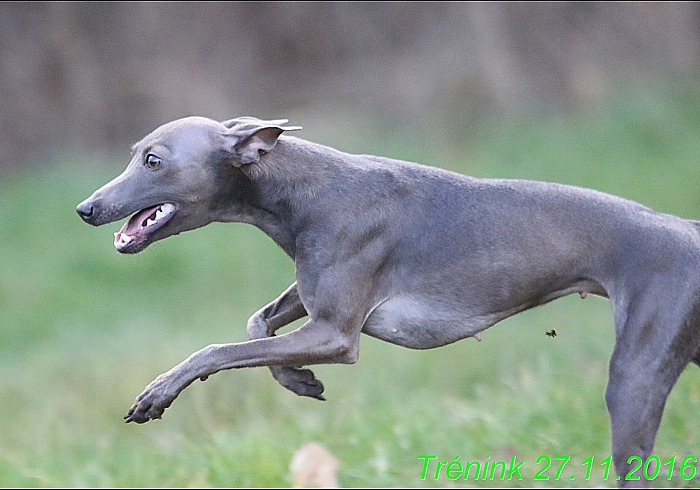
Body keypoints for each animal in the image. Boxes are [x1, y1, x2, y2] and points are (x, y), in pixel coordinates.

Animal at [76, 116, 700, 486]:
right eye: (134, 153)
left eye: (153, 160)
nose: (86, 208)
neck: (302, 189)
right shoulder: (316, 306)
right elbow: (256, 326)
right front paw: (298, 380)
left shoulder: (336, 333)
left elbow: (215, 351)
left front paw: (158, 393)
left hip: (634, 379)